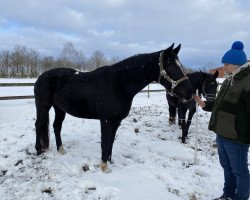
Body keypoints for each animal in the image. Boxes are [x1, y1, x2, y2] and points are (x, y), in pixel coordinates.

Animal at [34, 43, 192, 172]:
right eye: (171, 66)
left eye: (180, 65)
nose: (190, 92)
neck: (117, 84)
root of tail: (40, 77)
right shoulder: (106, 121)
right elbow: (105, 142)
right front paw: (104, 167)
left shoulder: (116, 122)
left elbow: (111, 142)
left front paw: (109, 161)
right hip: (43, 106)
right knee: (39, 124)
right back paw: (38, 151)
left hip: (59, 108)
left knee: (56, 126)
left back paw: (61, 150)